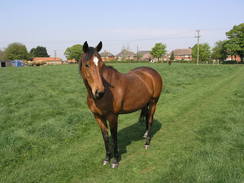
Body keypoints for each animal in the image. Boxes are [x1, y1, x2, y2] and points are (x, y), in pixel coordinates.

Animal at [78, 41, 162, 169]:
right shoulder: (98, 117)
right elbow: (106, 137)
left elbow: (114, 137)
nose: (99, 92)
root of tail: (152, 72)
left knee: (151, 119)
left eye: (101, 64)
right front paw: (107, 159)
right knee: (148, 117)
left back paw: (147, 143)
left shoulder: (112, 116)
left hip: (153, 102)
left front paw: (115, 161)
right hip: (146, 103)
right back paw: (146, 134)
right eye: (87, 65)